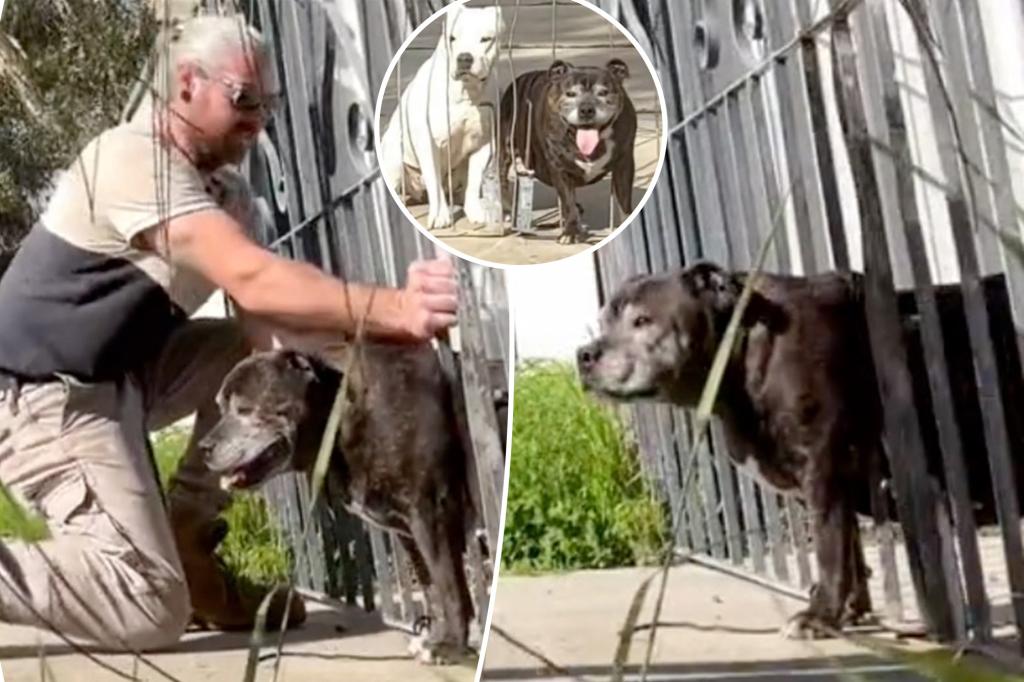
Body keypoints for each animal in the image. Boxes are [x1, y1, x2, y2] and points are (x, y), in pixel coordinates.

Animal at [199, 342, 475, 659]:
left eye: (244, 409)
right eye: (221, 408)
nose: (203, 448)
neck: (341, 415)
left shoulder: (430, 512)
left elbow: (448, 585)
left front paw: (450, 646)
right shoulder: (409, 532)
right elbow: (432, 586)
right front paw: (437, 637)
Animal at [380, 3, 503, 228]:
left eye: (485, 39)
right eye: (452, 38)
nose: (464, 58)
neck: (465, 92)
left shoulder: (483, 143)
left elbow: (474, 180)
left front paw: (475, 210)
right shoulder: (428, 143)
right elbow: (433, 178)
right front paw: (440, 215)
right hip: (394, 159)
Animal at [497, 58, 634, 244]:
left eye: (603, 92)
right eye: (570, 94)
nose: (586, 109)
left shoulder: (624, 165)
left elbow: (623, 200)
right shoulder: (559, 169)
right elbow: (568, 201)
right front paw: (571, 232)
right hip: (506, 146)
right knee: (502, 176)